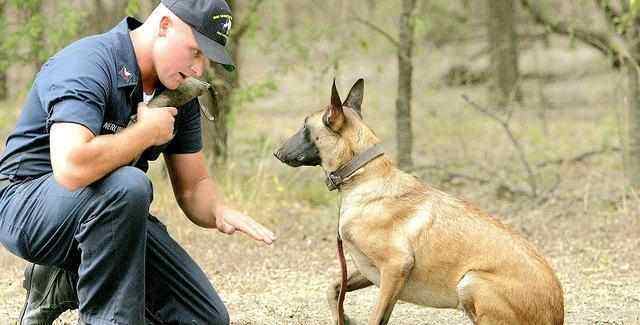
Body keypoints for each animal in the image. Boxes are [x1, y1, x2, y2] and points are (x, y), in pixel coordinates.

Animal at [272, 79, 564, 324]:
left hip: (469, 281)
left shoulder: (395, 266)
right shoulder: (374, 274)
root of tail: (557, 313)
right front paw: (344, 318)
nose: (276, 153)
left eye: (305, 127)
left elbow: (373, 317)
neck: (365, 177)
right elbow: (334, 290)